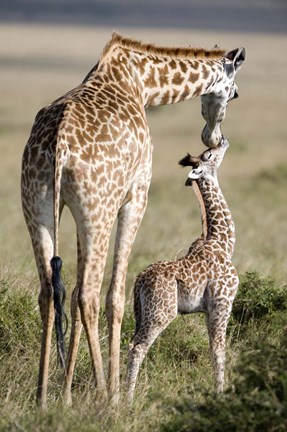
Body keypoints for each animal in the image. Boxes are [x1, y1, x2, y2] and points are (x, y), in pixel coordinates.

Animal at [127, 138, 240, 402]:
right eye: (209, 154)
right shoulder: (223, 302)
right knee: (138, 347)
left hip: (141, 312)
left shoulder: (208, 309)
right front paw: (220, 394)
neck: (224, 242)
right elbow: (219, 351)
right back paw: (125, 399)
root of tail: (139, 280)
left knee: (129, 343)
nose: (223, 140)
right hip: (161, 313)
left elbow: (212, 349)